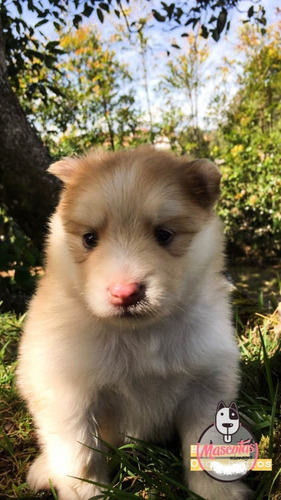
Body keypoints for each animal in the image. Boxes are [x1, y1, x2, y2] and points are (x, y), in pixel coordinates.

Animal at [16, 146, 248, 498]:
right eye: (89, 238)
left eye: (164, 234)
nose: (125, 293)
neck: (139, 335)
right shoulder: (68, 396)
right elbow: (80, 459)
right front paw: (87, 493)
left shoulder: (207, 384)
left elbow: (208, 449)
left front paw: (218, 493)